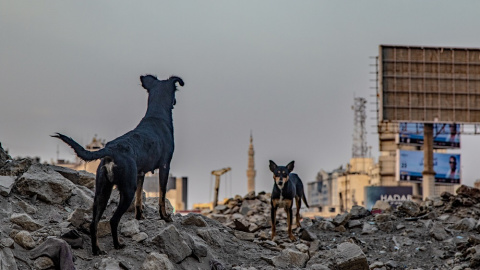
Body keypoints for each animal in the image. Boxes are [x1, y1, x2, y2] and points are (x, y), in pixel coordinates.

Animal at [52, 75, 184, 254]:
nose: (175, 102)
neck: (157, 115)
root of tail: (111, 150)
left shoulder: (140, 173)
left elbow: (139, 199)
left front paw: (139, 216)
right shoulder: (165, 166)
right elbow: (162, 195)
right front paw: (164, 216)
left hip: (102, 191)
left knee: (94, 223)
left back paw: (96, 249)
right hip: (127, 189)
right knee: (113, 220)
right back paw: (117, 244)